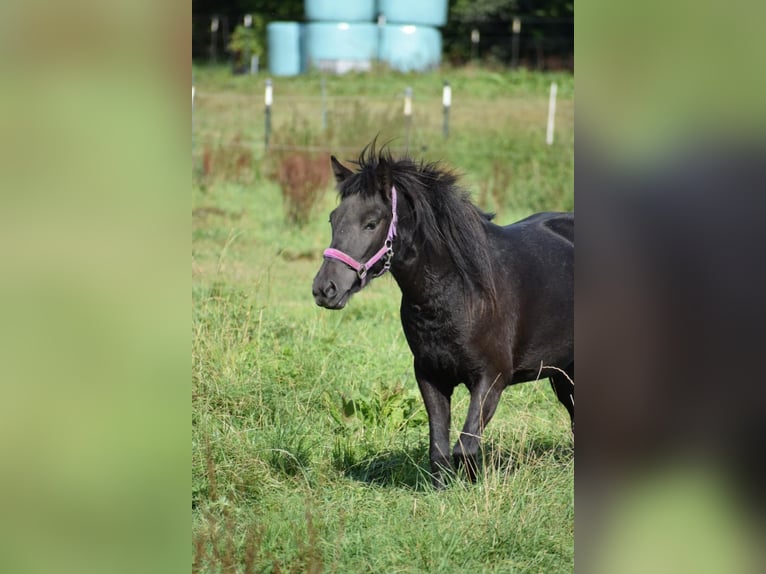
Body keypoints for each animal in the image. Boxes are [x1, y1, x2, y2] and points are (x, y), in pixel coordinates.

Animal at [312, 144, 574, 488]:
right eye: (333, 219)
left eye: (371, 222)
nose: (324, 289)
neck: (461, 291)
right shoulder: (430, 376)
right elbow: (439, 448)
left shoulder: (492, 379)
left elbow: (466, 447)